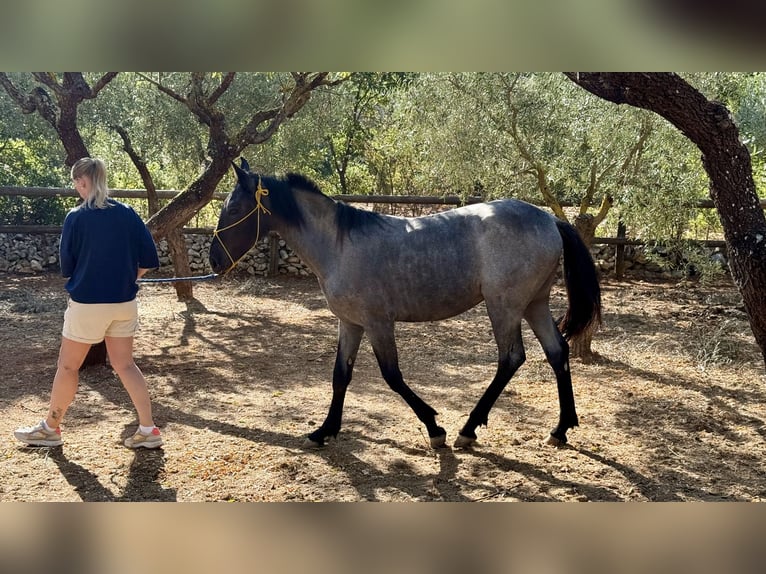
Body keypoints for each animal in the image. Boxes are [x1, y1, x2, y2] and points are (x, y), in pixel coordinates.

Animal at [209, 159, 601, 449]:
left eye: (235, 208)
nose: (214, 260)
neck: (339, 245)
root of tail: (549, 218)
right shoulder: (350, 323)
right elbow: (340, 376)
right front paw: (325, 430)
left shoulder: (378, 323)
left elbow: (392, 376)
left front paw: (434, 427)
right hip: (534, 303)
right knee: (557, 351)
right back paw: (561, 428)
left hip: (503, 306)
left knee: (511, 358)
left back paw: (468, 428)